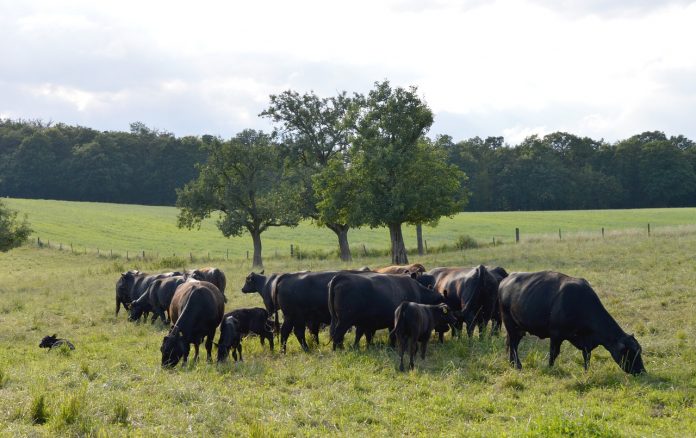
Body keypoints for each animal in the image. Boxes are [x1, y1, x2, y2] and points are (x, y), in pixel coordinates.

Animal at [498, 271, 646, 374]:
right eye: (629, 353)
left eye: (639, 351)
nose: (642, 371)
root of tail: (507, 279)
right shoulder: (556, 335)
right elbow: (553, 353)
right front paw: (550, 368)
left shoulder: (586, 342)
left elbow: (587, 356)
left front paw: (586, 372)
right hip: (510, 325)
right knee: (513, 345)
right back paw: (517, 366)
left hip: (518, 329)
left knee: (511, 344)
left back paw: (513, 364)